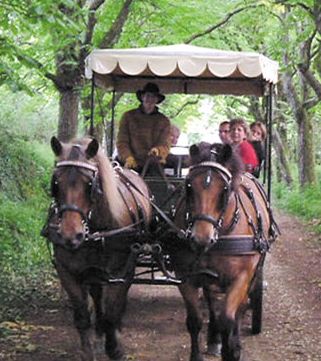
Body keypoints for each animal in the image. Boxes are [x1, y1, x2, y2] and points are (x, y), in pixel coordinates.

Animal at [42, 136, 151, 360]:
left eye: (90, 184)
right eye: (55, 183)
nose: (70, 235)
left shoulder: (120, 272)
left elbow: (112, 311)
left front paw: (114, 348)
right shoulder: (67, 271)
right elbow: (82, 316)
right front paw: (89, 350)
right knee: (97, 294)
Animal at [170, 142, 278, 360]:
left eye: (225, 189)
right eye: (188, 186)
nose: (201, 239)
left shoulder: (242, 277)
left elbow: (228, 319)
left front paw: (232, 350)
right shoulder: (185, 276)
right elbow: (195, 320)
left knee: (240, 308)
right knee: (212, 304)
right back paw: (214, 338)